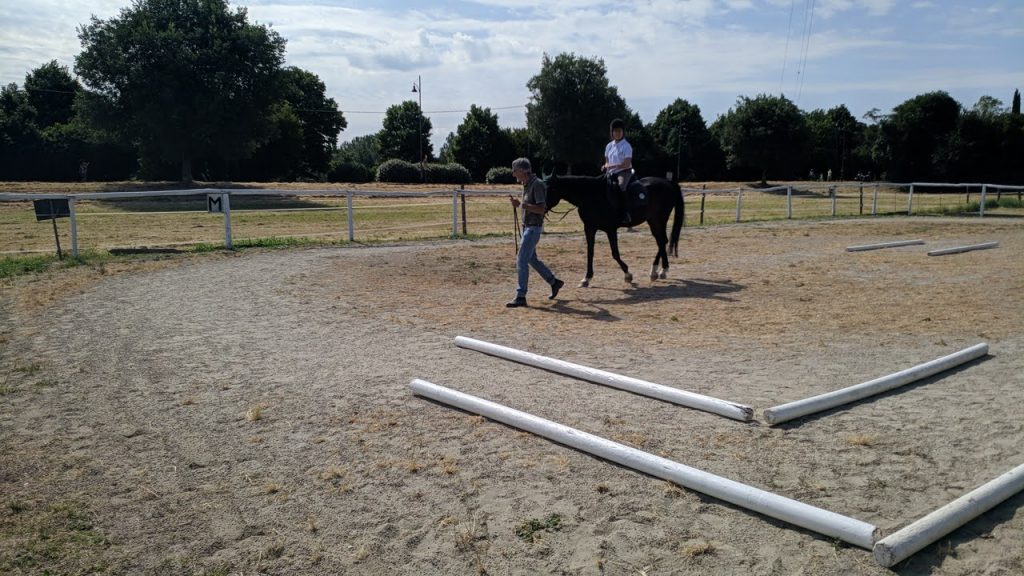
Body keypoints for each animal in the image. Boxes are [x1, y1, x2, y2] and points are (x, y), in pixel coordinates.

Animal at [540, 172, 684, 284]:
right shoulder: (590, 228)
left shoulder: (610, 229)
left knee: (662, 241)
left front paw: (628, 274)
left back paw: (660, 271)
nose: (540, 207)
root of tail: (668, 182)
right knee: (661, 241)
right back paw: (657, 271)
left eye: (549, 190)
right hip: (653, 221)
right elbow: (590, 252)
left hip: (659, 219)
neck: (592, 196)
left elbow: (615, 253)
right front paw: (587, 278)